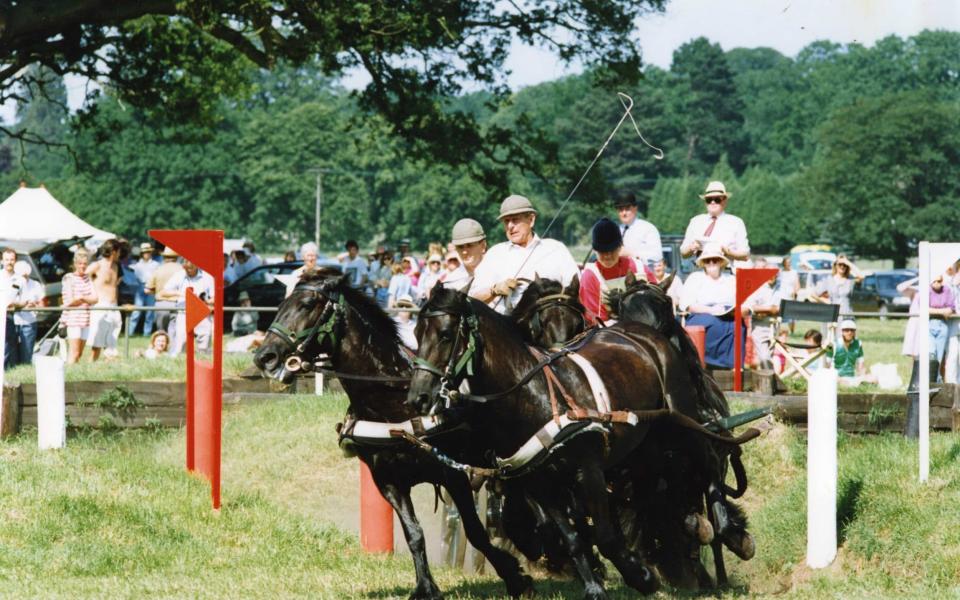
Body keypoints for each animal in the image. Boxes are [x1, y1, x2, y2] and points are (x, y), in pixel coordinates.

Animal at [251, 270, 532, 596]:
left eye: (307, 304)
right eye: (281, 304)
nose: (264, 356)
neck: (392, 404)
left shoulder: (454, 474)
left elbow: (476, 531)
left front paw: (515, 577)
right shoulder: (388, 480)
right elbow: (414, 534)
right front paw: (426, 587)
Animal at [408, 288, 748, 600]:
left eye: (446, 335)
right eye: (415, 333)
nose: (418, 397)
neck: (534, 397)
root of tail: (643, 333)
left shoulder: (588, 471)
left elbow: (605, 536)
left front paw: (641, 577)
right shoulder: (539, 482)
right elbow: (572, 538)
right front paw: (596, 586)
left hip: (681, 418)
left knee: (709, 460)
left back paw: (729, 532)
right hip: (645, 447)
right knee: (653, 493)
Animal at [608, 270, 756, 580]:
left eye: (666, 306)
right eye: (622, 308)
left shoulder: (713, 458)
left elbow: (717, 517)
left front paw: (739, 540)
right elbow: (666, 514)